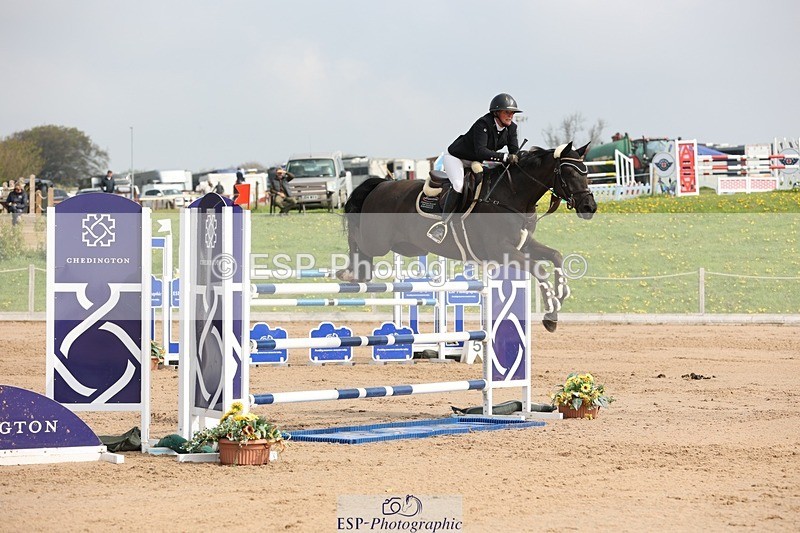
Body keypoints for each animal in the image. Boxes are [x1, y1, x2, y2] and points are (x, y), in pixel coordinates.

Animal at [337, 141, 597, 332]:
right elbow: (539, 269)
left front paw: (561, 294)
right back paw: (350, 273)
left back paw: (358, 274)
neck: (511, 196)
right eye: (569, 172)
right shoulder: (501, 250)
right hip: (378, 242)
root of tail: (380, 185)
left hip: (408, 247)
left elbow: (555, 255)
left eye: (586, 172)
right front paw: (551, 314)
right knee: (356, 240)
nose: (589, 207)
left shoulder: (523, 245)